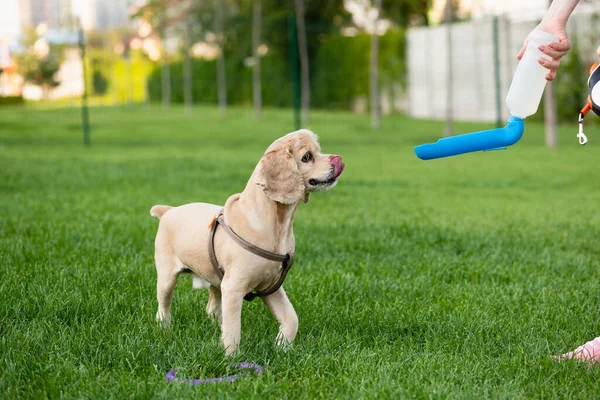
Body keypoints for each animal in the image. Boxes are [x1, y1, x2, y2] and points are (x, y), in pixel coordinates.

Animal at [150, 129, 346, 354]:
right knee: (163, 308)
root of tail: (168, 211)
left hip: (215, 279)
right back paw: (164, 329)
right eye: (307, 157)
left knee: (212, 306)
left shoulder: (271, 287)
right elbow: (234, 330)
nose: (338, 159)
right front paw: (231, 357)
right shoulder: (234, 288)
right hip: (167, 278)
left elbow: (291, 318)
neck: (276, 225)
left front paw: (282, 347)